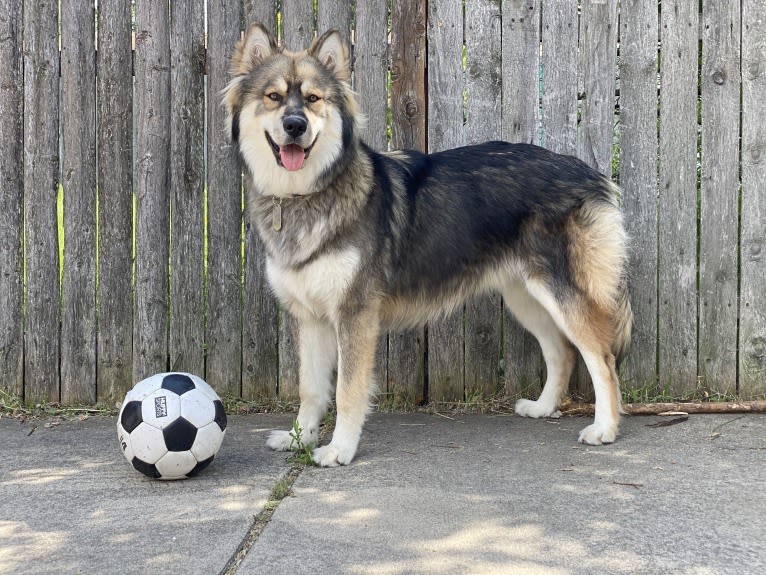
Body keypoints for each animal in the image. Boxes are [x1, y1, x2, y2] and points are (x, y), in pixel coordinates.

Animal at [224, 24, 636, 468]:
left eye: (314, 99)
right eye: (274, 97)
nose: (296, 125)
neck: (305, 193)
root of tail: (588, 171)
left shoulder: (355, 315)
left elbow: (347, 391)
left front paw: (339, 449)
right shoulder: (311, 317)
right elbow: (311, 388)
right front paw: (299, 438)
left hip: (562, 293)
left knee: (602, 359)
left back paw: (605, 429)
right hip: (525, 296)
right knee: (562, 350)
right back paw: (544, 407)